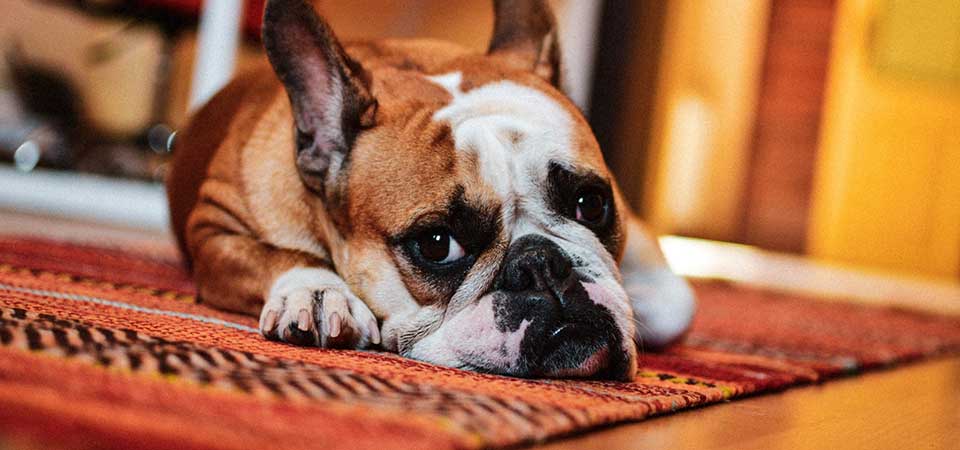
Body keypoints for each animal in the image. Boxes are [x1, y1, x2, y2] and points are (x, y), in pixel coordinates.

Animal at [166, 0, 696, 380]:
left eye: (591, 204)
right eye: (438, 245)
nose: (542, 263)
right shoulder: (214, 228)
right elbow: (277, 255)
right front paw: (317, 291)